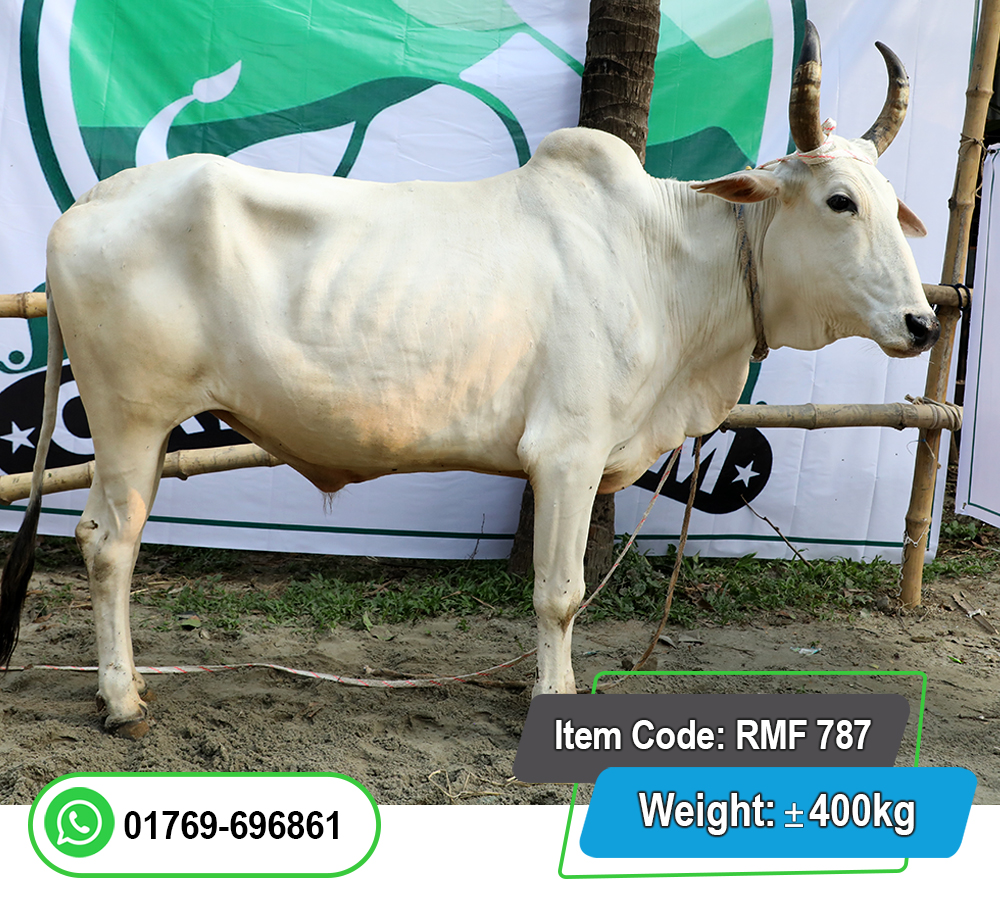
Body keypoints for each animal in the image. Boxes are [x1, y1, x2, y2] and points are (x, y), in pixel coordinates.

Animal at [0, 22, 938, 737]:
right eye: (840, 201)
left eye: (892, 204)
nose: (923, 323)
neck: (666, 262)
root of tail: (85, 206)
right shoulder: (565, 453)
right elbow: (560, 594)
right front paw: (553, 698)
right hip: (130, 417)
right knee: (110, 543)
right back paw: (121, 702)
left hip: (143, 432)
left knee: (101, 536)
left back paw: (124, 685)